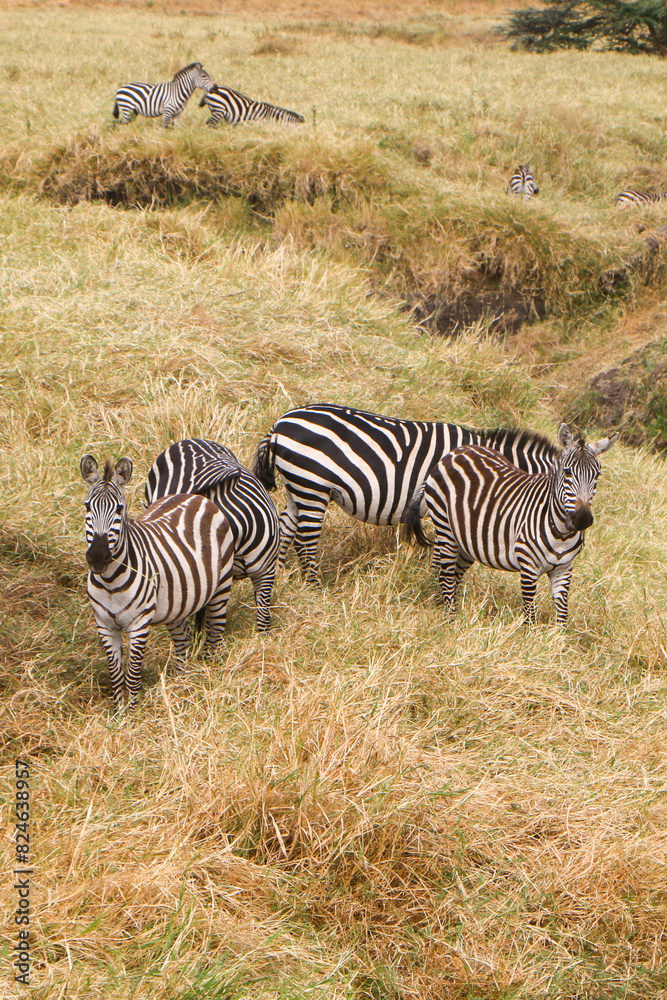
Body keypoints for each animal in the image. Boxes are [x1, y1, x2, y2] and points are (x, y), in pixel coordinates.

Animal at [81, 455, 235, 712]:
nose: (98, 557)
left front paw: (134, 714)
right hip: (177, 603)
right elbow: (116, 675)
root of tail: (196, 496)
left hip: (221, 586)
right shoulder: (104, 624)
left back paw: (212, 674)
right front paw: (119, 714)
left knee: (215, 634)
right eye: (87, 507)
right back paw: (180, 683)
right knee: (184, 640)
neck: (110, 581)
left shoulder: (139, 623)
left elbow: (132, 674)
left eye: (120, 509)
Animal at [252, 403, 560, 584]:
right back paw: (315, 586)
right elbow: (447, 553)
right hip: (311, 485)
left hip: (297, 488)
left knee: (285, 528)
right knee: (305, 540)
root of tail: (280, 423)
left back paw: (280, 576)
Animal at [404, 424, 617, 624]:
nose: (582, 519)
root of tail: (456, 452)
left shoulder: (564, 569)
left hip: (467, 540)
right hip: (445, 528)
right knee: (446, 577)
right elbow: (530, 614)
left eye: (597, 475)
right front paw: (531, 638)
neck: (561, 534)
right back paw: (451, 620)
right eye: (567, 473)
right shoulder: (528, 566)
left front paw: (559, 640)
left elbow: (562, 615)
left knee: (454, 576)